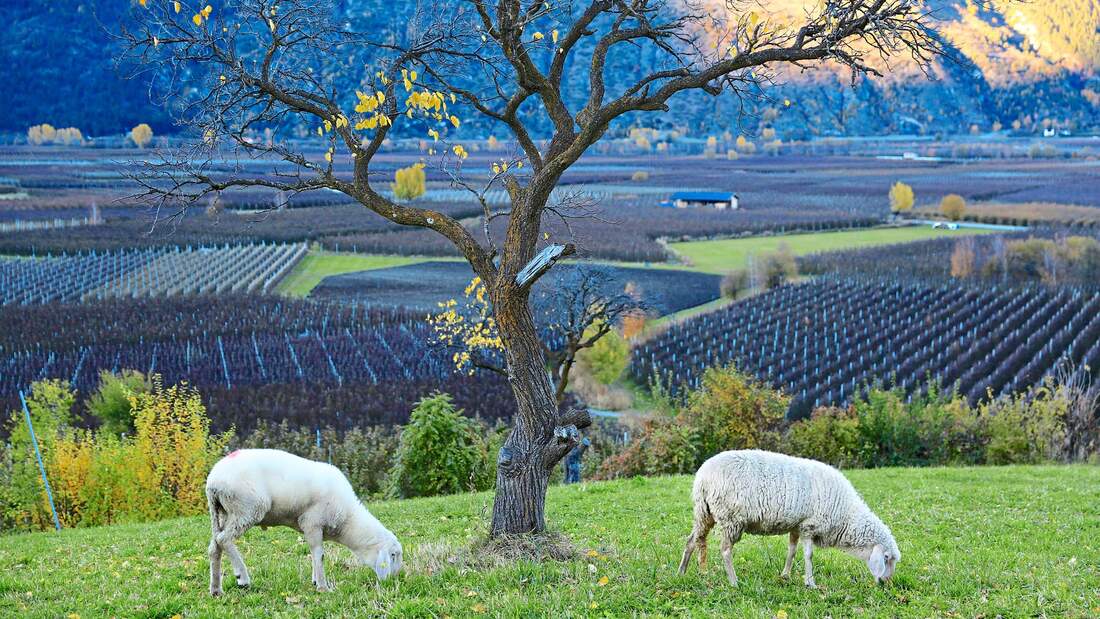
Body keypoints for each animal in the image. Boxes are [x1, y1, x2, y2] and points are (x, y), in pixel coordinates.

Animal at [204, 448, 402, 598]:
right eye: (393, 555)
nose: (395, 580)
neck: (347, 520)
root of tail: (213, 480)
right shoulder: (312, 522)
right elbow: (319, 555)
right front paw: (323, 587)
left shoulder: (312, 528)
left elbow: (315, 553)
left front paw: (315, 581)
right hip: (248, 508)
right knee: (223, 539)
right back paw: (242, 577)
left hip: (223, 512)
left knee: (215, 547)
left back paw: (216, 590)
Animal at [677, 448, 902, 589]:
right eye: (886, 558)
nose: (887, 584)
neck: (846, 516)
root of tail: (703, 477)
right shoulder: (810, 526)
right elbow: (809, 556)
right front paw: (810, 582)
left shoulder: (797, 525)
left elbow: (792, 551)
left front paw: (785, 575)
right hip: (732, 518)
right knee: (725, 550)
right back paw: (734, 581)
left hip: (704, 513)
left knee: (692, 541)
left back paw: (681, 573)